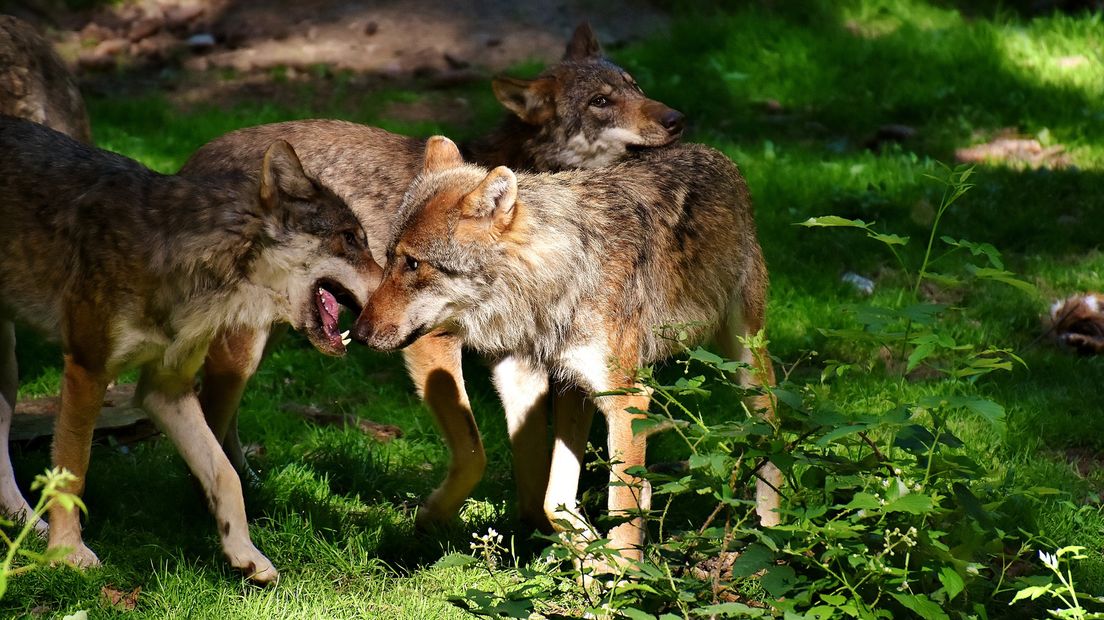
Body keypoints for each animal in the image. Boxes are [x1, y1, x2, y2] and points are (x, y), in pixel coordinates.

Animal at [0, 114, 377, 578]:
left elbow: (225, 473)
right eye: (350, 238)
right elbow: (75, 472)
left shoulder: (165, 388)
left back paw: (27, 525)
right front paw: (68, 552)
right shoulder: (87, 369)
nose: (398, 282)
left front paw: (245, 554)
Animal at [176, 21, 684, 529]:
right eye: (600, 101)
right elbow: (476, 454)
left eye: (635, 86)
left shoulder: (522, 359)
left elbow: (533, 467)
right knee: (209, 413)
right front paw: (431, 520)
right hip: (245, 349)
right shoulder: (429, 342)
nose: (677, 119)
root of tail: (185, 167)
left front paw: (538, 533)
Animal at [353, 135, 777, 560]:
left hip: (744, 364)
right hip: (583, 391)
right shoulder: (527, 381)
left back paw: (776, 532)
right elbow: (550, 499)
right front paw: (592, 556)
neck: (555, 279)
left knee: (772, 431)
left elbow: (620, 510)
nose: (358, 333)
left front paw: (623, 573)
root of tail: (714, 153)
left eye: (413, 264)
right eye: (388, 258)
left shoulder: (626, 398)